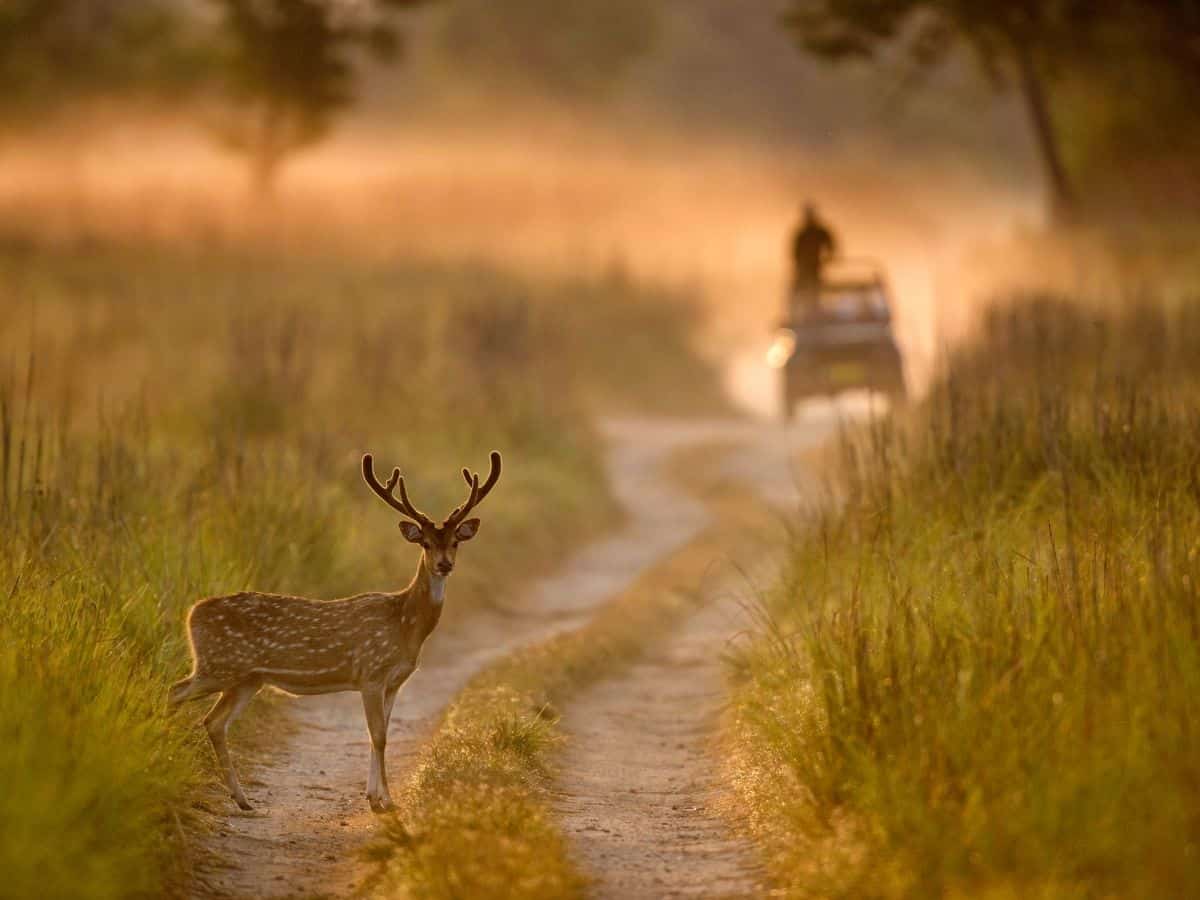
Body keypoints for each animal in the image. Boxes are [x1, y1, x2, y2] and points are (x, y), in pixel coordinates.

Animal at [169, 451, 501, 811]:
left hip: (247, 678)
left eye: (455, 542)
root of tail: (192, 612)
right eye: (425, 543)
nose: (444, 564)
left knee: (214, 722)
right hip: (217, 665)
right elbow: (378, 735)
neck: (405, 625)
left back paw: (242, 799)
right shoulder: (371, 672)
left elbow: (381, 733)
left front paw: (375, 796)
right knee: (176, 691)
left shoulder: (394, 682)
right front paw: (385, 801)